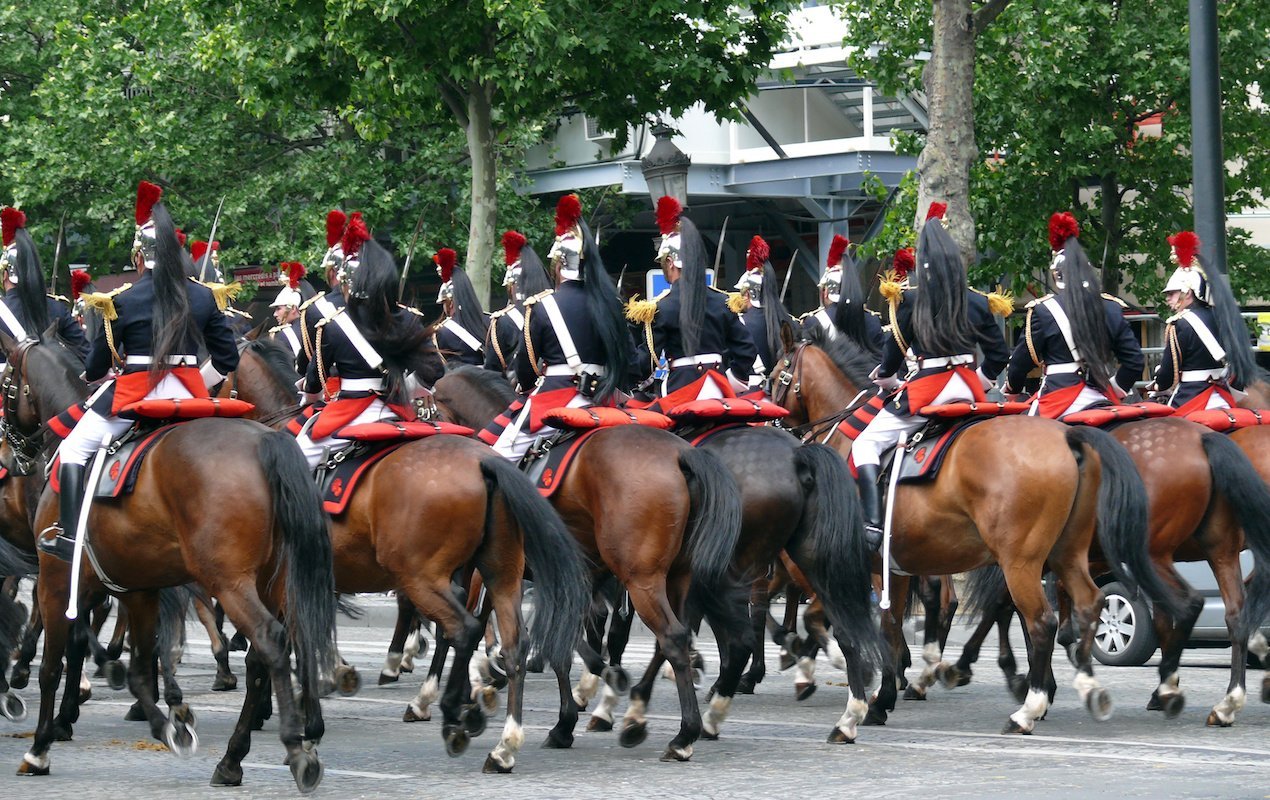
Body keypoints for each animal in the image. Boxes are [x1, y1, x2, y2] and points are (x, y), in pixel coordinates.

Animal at [0, 330, 337, 792]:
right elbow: (140, 667)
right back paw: (237, 755)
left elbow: (54, 663)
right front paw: (170, 724)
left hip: (230, 581)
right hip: (276, 581)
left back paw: (292, 746)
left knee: (269, 639)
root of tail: (265, 442)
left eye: (5, 383)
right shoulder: (136, 587)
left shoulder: (58, 580)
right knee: (276, 647)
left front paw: (40, 743)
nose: (7, 454)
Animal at [222, 337, 589, 772]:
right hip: (501, 573)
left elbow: (279, 649)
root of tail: (485, 460)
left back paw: (451, 709)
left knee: (466, 628)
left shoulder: (284, 582)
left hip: (422, 576)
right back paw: (506, 742)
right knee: (520, 640)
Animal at [772, 330, 1188, 736]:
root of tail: (1069, 438)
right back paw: (1092, 689)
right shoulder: (890, 567)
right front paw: (882, 696)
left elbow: (851, 628)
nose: (779, 426)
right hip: (1065, 555)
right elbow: (889, 626)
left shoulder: (851, 566)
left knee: (1041, 620)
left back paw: (1027, 707)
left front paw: (855, 698)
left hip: (1022, 560)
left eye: (776, 375)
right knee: (1091, 604)